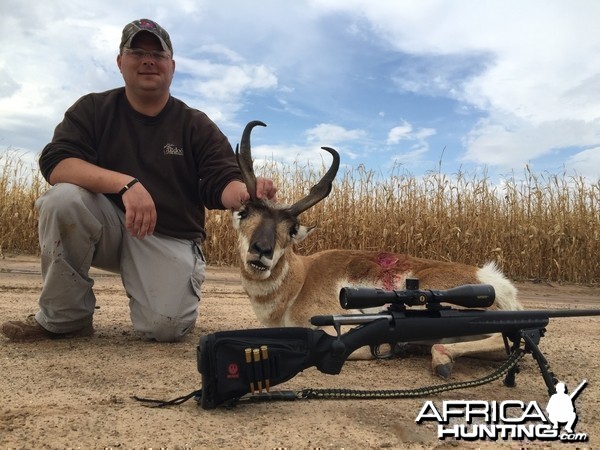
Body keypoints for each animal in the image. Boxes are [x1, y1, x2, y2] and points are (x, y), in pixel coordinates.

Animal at [232, 120, 524, 380]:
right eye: (244, 212)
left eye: (292, 229)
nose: (262, 251)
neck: (301, 280)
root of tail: (492, 280)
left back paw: (437, 357)